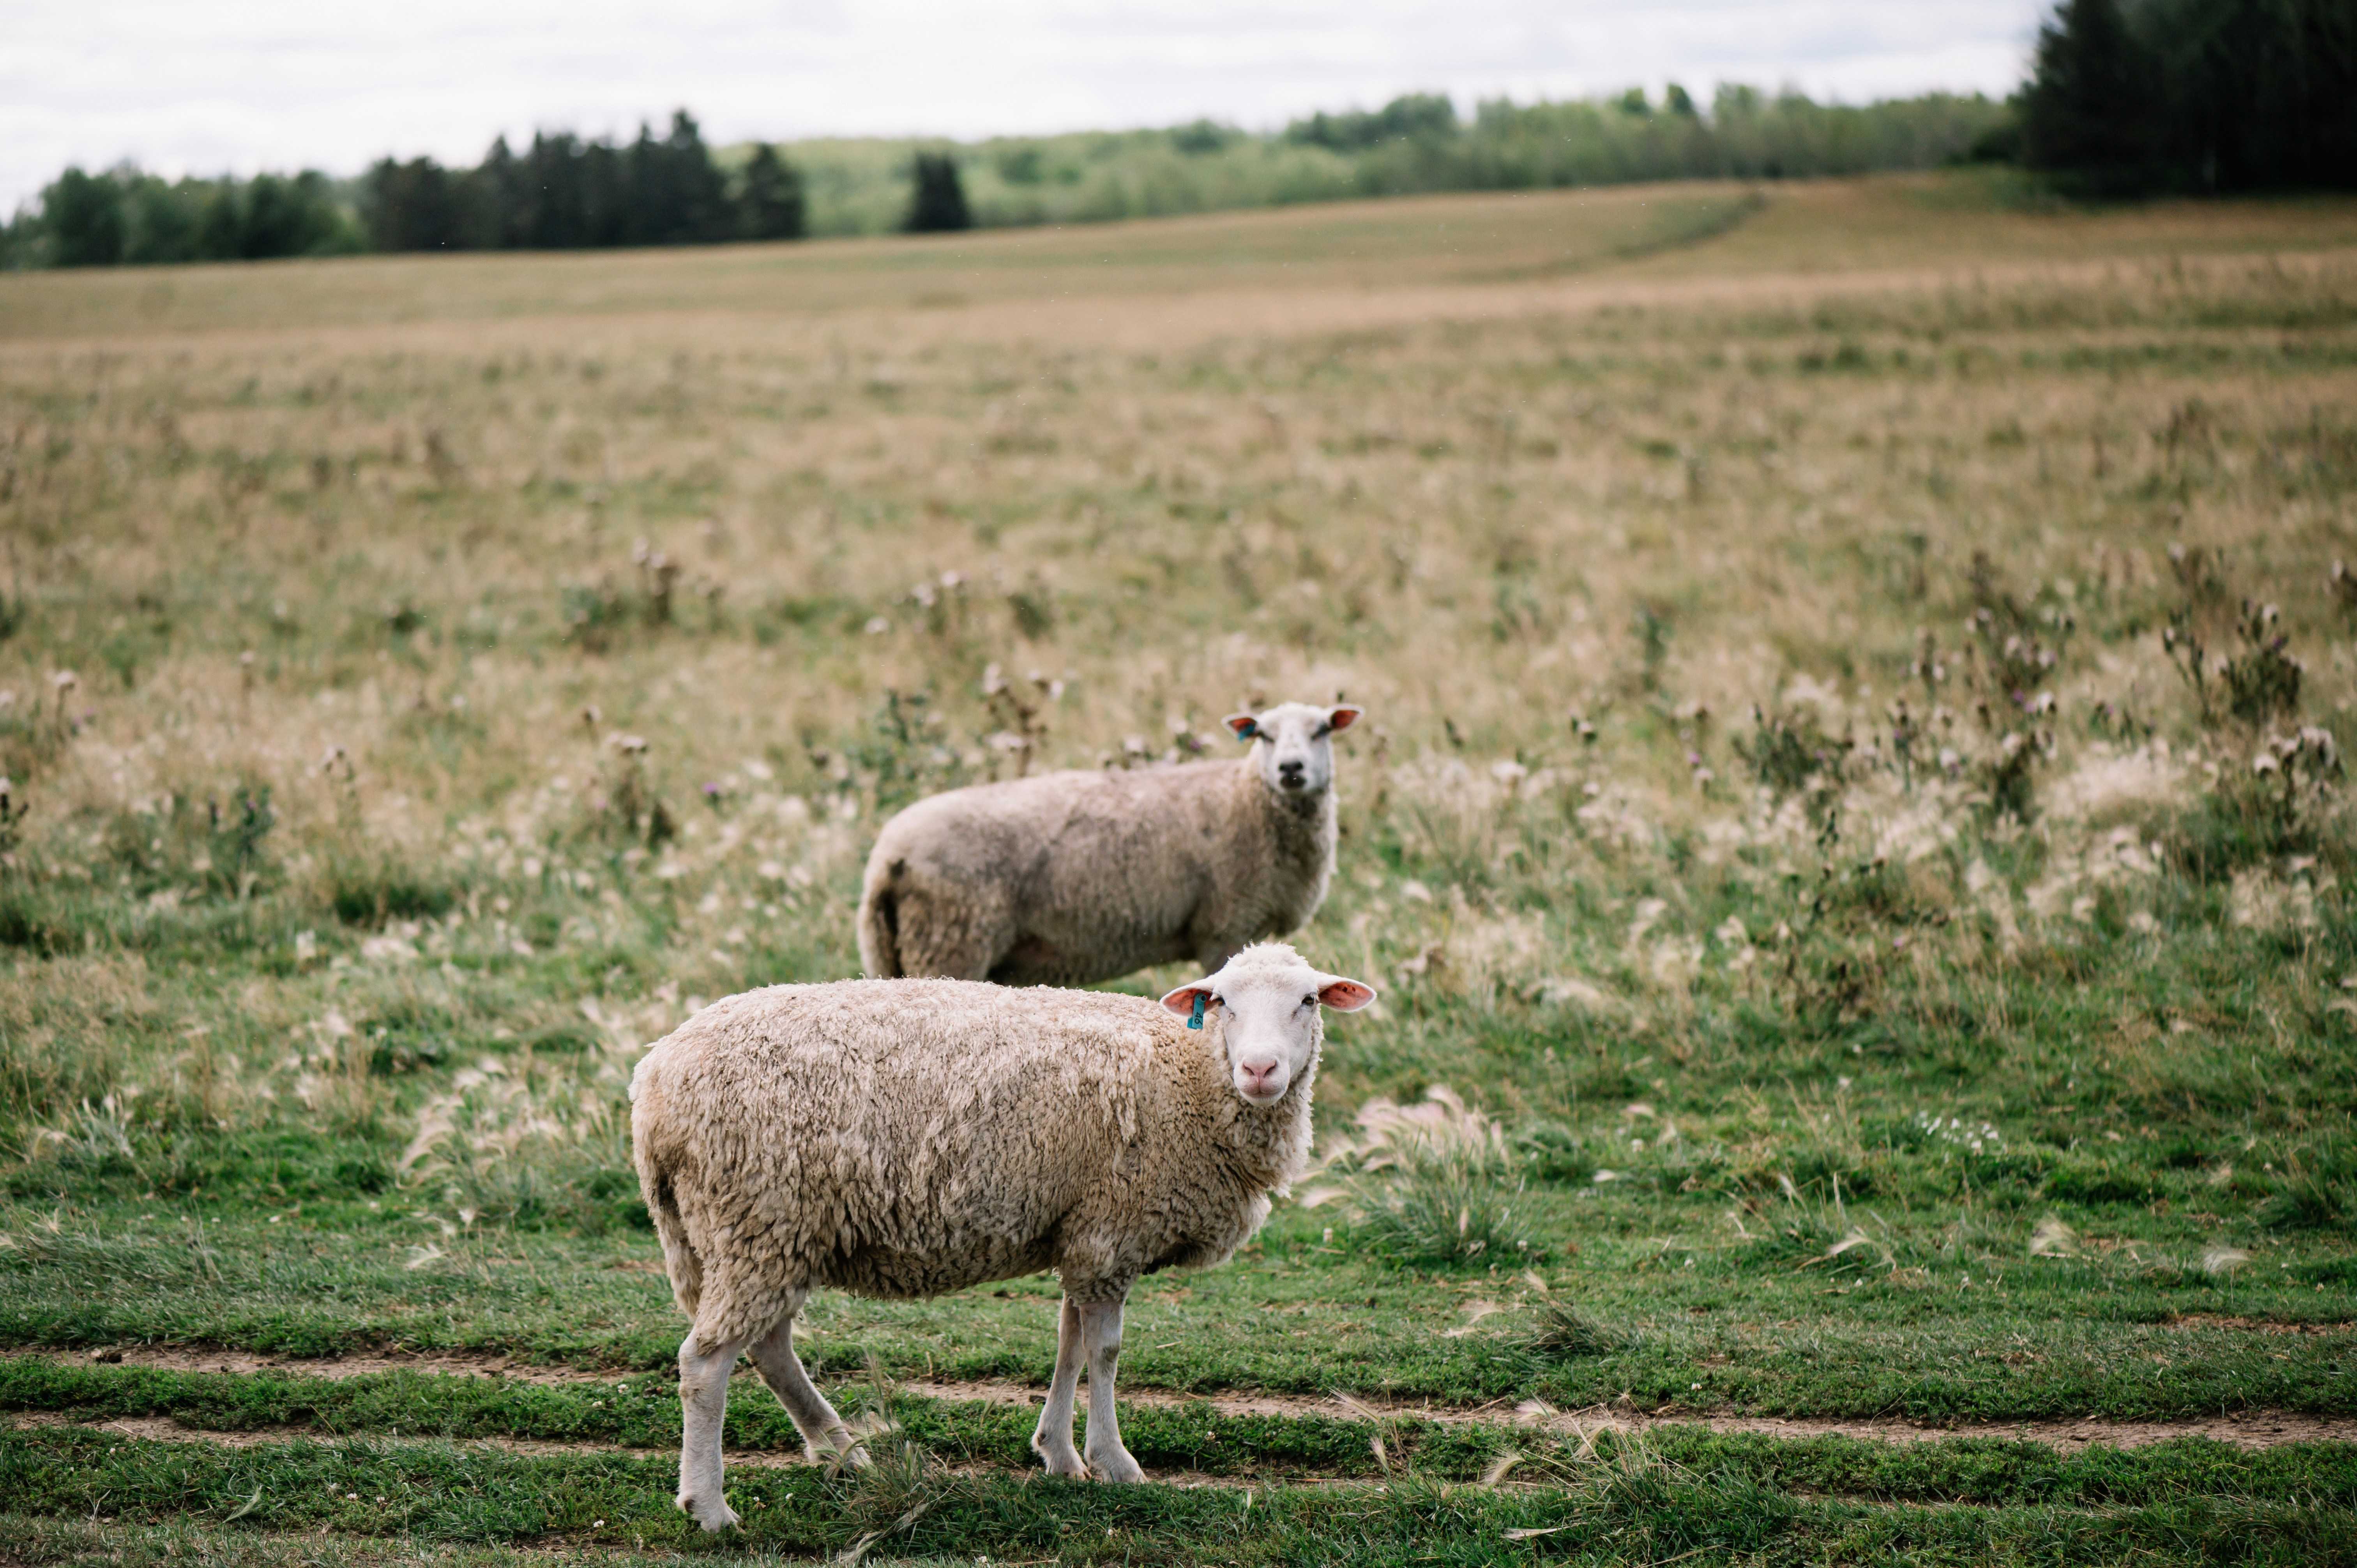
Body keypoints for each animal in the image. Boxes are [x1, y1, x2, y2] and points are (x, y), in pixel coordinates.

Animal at [628, 941, 1375, 1529]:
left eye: (1308, 1000)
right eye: (1221, 1001)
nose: (1260, 1070)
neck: (1190, 1076)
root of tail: (654, 1080)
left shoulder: (1083, 1230)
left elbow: (1069, 1342)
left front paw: (1059, 1454)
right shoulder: (1113, 1230)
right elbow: (1105, 1352)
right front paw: (1115, 1462)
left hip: (752, 1232)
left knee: (769, 1348)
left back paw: (843, 1450)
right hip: (757, 1215)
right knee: (706, 1363)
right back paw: (710, 1507)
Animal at [857, 701, 1363, 984]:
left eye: (1322, 730)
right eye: (1262, 734)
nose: (1291, 770)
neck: (1246, 797)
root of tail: (887, 857)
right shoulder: (1224, 926)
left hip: (891, 951)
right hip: (950, 942)